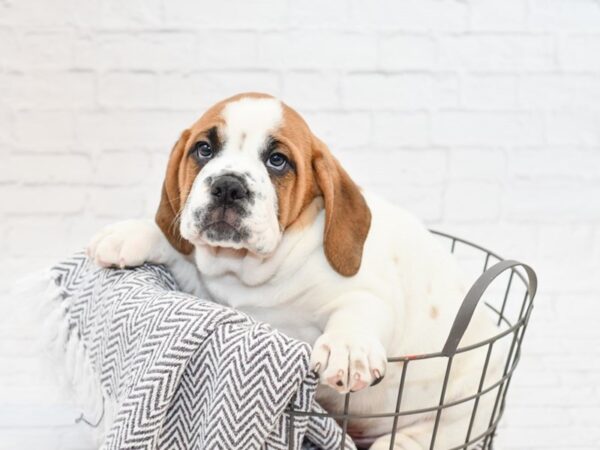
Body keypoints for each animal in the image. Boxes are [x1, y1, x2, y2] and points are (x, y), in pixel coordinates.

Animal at [88, 93, 502, 448]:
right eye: (204, 150)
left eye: (277, 161)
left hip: (450, 421)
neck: (249, 269)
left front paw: (347, 350)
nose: (228, 186)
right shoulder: (205, 282)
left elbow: (356, 314)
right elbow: (176, 246)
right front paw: (128, 234)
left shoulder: (369, 294)